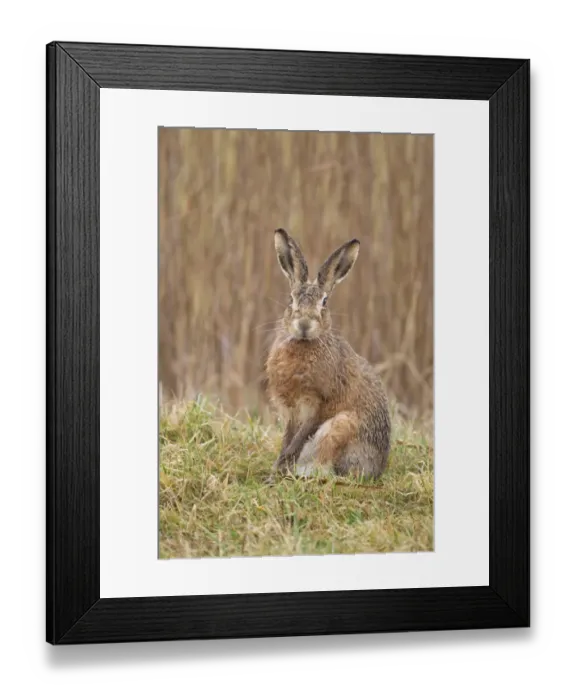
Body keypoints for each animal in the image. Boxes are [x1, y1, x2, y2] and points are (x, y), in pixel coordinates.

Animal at [265, 228, 391, 480]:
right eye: (290, 299)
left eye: (324, 302)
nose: (304, 324)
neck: (304, 345)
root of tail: (375, 469)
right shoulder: (291, 412)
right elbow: (287, 439)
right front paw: (277, 468)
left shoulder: (316, 404)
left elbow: (297, 440)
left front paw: (278, 470)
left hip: (340, 426)